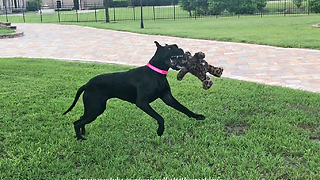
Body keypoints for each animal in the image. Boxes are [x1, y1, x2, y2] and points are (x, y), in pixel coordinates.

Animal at [63, 41, 205, 140]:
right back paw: (80, 138)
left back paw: (83, 133)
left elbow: (184, 108)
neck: (156, 73)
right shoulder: (142, 103)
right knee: (76, 123)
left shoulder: (167, 97)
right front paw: (160, 131)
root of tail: (86, 84)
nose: (181, 49)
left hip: (94, 109)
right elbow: (160, 118)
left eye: (176, 45)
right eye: (170, 48)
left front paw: (197, 116)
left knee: (81, 119)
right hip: (95, 109)